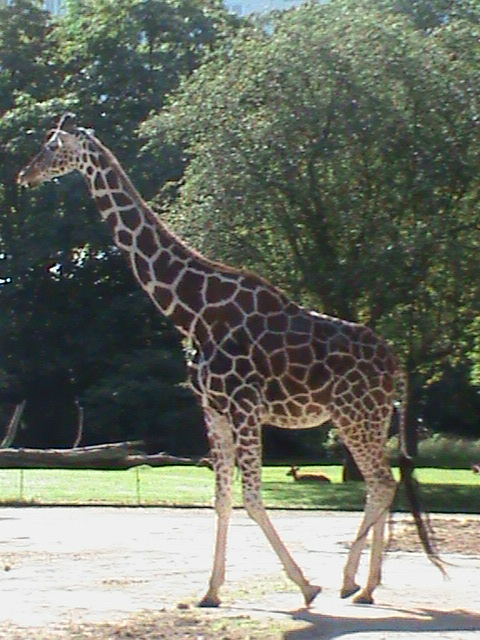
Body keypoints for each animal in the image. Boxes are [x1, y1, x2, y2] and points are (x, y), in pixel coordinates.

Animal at [17, 114, 442, 608]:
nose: (24, 175)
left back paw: (351, 580)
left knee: (382, 482)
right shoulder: (213, 411)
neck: (192, 310)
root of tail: (396, 364)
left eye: (52, 146)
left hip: (358, 415)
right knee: (379, 483)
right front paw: (209, 592)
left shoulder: (244, 408)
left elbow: (253, 497)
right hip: (363, 418)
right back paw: (366, 585)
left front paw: (305, 585)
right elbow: (221, 499)